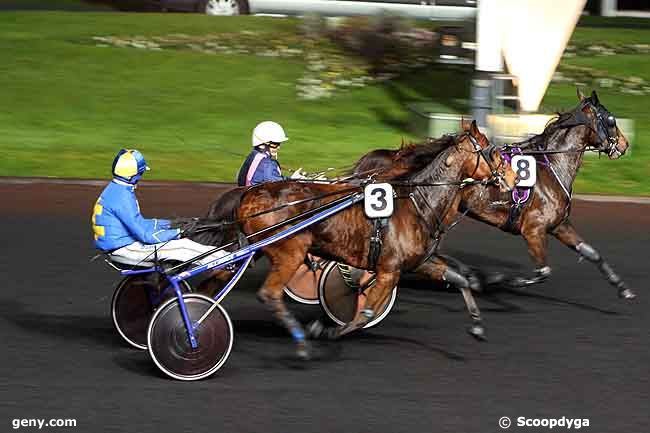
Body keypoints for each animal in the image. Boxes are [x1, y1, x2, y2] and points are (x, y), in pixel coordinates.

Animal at [233, 126, 516, 360]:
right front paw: (325, 330)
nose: (512, 179)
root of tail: (250, 196)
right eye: (492, 152)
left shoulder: (418, 263)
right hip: (290, 252)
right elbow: (365, 313)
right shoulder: (389, 271)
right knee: (269, 294)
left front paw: (477, 325)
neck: (416, 203)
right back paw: (301, 343)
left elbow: (459, 280)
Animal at [352, 89, 632, 298]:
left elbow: (592, 253)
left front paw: (623, 288)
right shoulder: (534, 229)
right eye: (611, 120)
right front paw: (500, 281)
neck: (551, 167)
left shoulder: (558, 225)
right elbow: (542, 272)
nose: (624, 145)